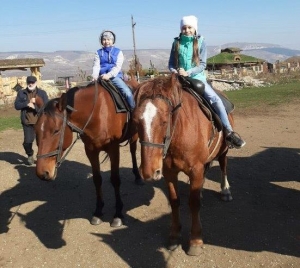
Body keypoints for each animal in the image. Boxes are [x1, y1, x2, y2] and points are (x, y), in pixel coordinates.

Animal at [34, 80, 142, 227]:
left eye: (56, 130)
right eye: (35, 130)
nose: (42, 173)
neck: (98, 112)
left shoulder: (114, 149)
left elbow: (115, 179)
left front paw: (118, 213)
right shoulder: (91, 151)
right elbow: (97, 179)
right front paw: (98, 211)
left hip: (134, 135)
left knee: (133, 151)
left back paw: (137, 176)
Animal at [134, 73, 234, 255]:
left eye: (164, 120)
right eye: (136, 121)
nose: (148, 172)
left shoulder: (195, 169)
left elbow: (193, 204)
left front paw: (195, 240)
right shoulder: (169, 172)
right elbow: (175, 202)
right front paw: (174, 236)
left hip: (223, 150)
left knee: (223, 166)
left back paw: (225, 191)